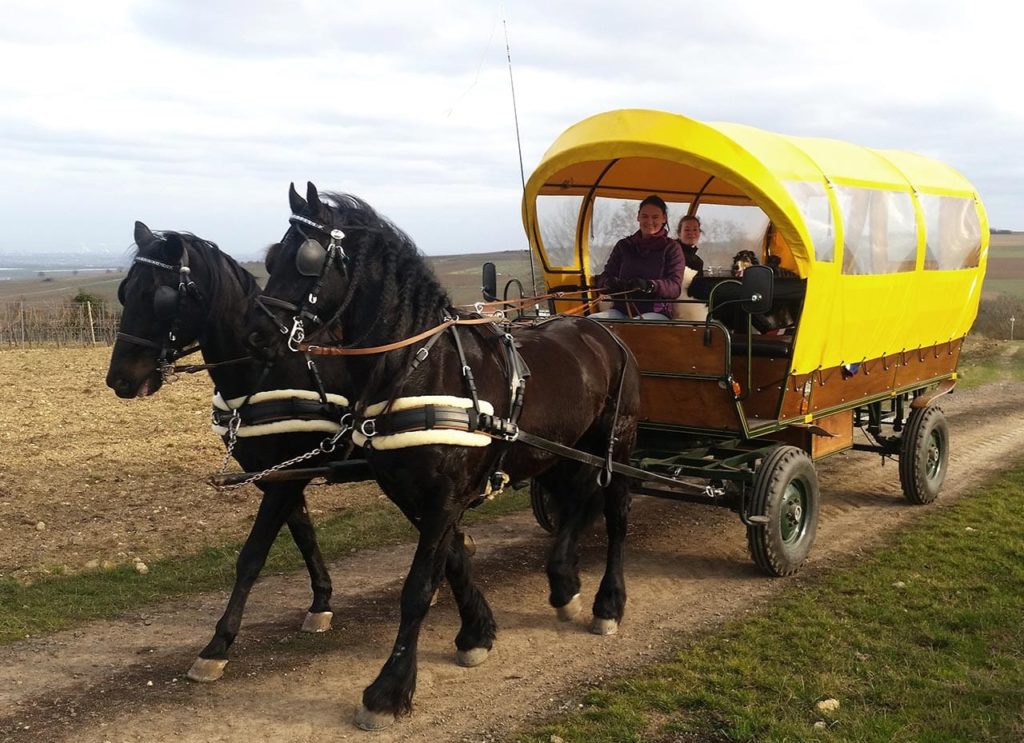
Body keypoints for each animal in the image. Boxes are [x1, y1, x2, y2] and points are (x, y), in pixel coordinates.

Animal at [104, 223, 352, 687]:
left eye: (160, 297)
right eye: (125, 292)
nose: (119, 380)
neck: (268, 367)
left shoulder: (291, 471)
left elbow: (252, 556)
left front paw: (217, 645)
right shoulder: (277, 473)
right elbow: (304, 534)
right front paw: (321, 603)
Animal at [252, 183, 638, 728]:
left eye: (307, 260)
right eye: (271, 258)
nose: (255, 335)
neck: (419, 369)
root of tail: (603, 330)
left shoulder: (444, 496)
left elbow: (418, 588)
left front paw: (388, 689)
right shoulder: (414, 493)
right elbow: (452, 561)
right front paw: (477, 633)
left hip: (617, 443)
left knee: (617, 516)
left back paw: (609, 603)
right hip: (563, 451)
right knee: (577, 504)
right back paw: (563, 583)